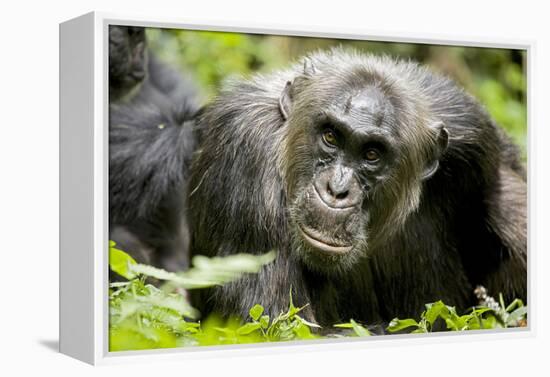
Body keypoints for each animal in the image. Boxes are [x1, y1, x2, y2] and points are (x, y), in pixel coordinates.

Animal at [191, 48, 532, 326]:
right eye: (330, 136)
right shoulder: (245, 152)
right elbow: (275, 321)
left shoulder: (475, 137)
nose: (337, 189)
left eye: (372, 154)